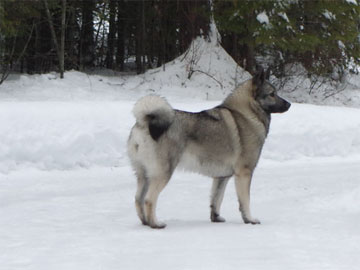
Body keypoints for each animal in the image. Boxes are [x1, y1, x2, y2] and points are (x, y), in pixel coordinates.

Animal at [126, 67, 290, 228]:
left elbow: (216, 199)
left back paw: (145, 222)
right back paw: (155, 224)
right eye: (272, 94)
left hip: (144, 175)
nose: (289, 104)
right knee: (149, 200)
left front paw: (215, 217)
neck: (246, 113)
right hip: (162, 173)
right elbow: (245, 201)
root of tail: (144, 122)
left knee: (138, 199)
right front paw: (249, 219)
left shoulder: (221, 177)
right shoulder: (244, 173)